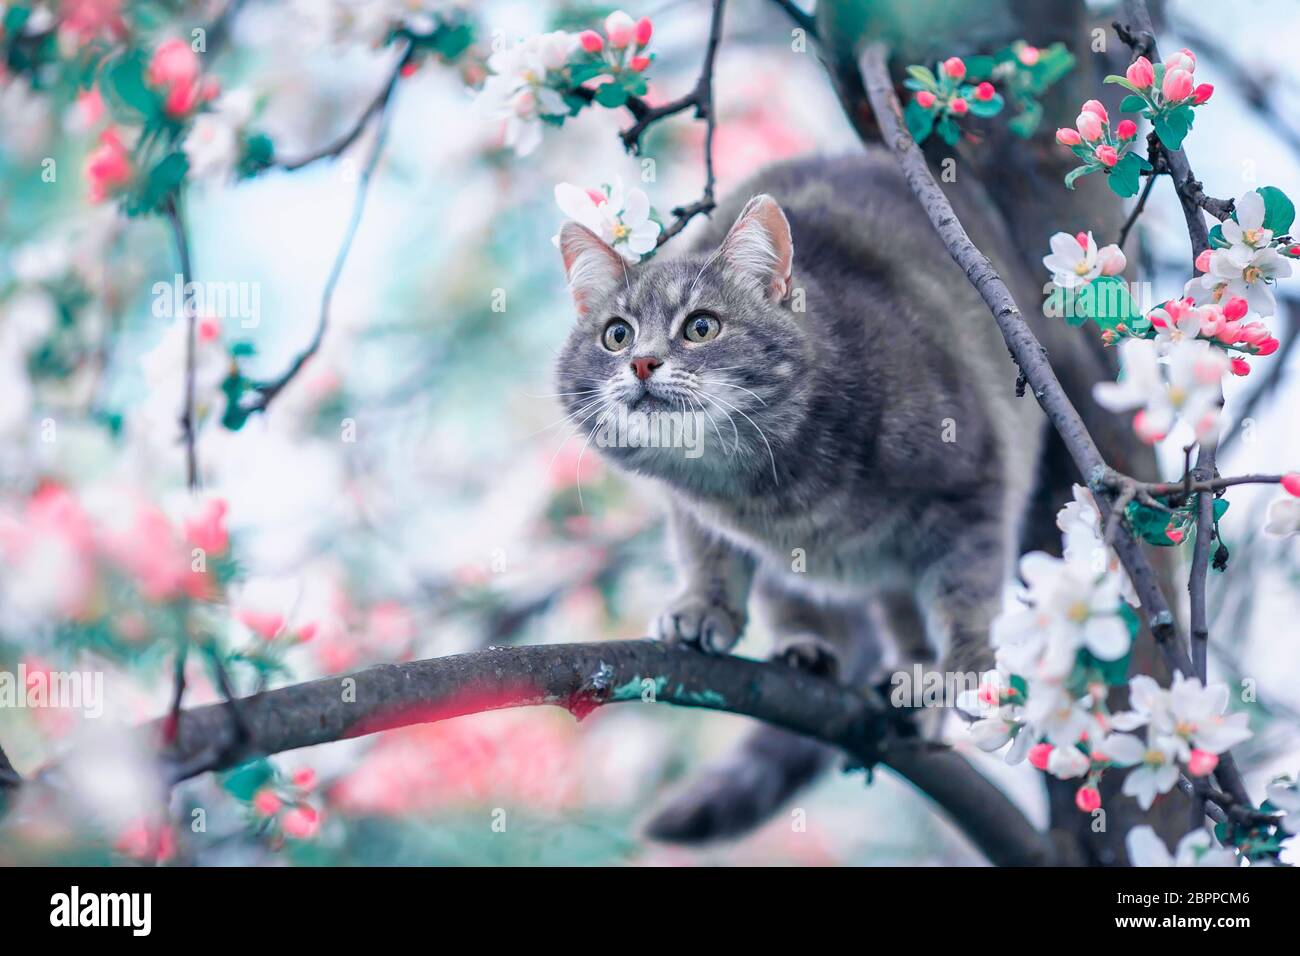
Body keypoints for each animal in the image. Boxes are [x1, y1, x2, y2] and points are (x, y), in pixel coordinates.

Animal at [553, 151, 1050, 842]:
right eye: (616, 335)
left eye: (701, 326)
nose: (643, 363)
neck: (768, 490)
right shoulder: (694, 509)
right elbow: (707, 550)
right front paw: (703, 606)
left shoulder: (973, 480)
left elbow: (966, 584)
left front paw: (963, 663)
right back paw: (808, 649)